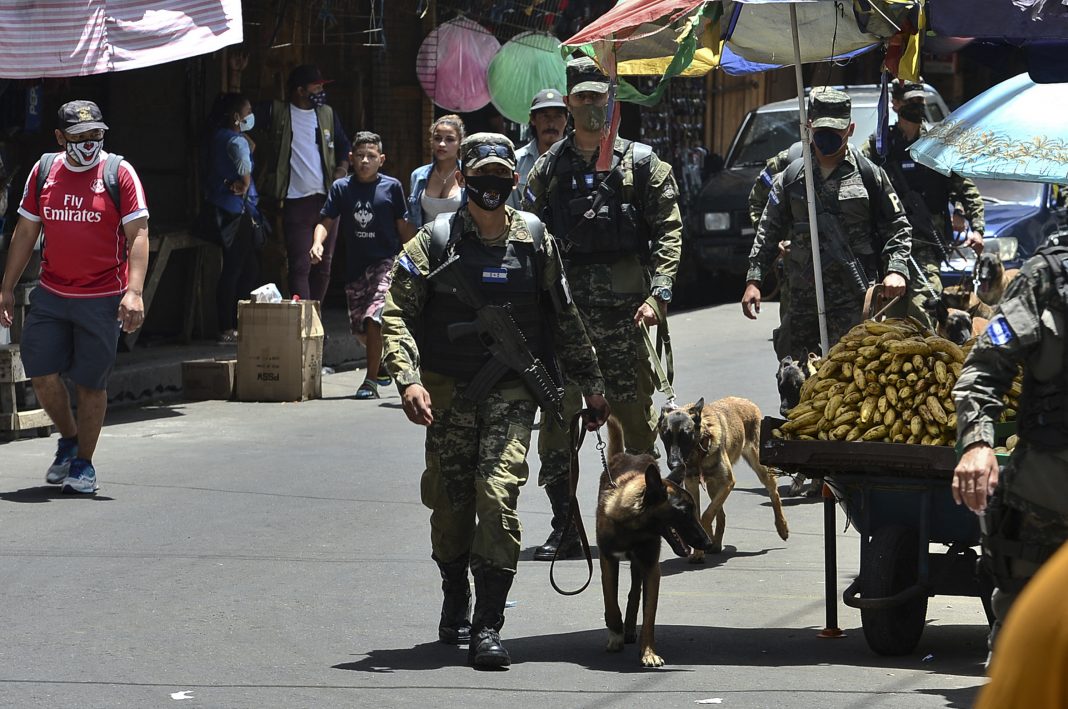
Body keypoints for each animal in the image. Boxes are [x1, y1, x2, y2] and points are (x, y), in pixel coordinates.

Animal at [598, 416, 713, 666]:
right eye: (684, 512)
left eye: (694, 510)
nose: (708, 544)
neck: (634, 527)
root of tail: (630, 455)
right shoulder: (607, 561)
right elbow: (610, 602)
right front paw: (615, 634)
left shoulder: (651, 568)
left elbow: (649, 614)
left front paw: (648, 652)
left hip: (638, 565)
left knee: (634, 592)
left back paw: (631, 628)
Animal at [653, 399, 790, 563]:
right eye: (666, 435)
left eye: (685, 435)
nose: (674, 465)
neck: (700, 449)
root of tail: (747, 402)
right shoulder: (692, 485)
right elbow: (701, 515)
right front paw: (699, 551)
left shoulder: (728, 482)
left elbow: (706, 515)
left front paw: (702, 543)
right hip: (713, 485)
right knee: (720, 514)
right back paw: (715, 544)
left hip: (759, 467)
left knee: (773, 493)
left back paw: (782, 527)